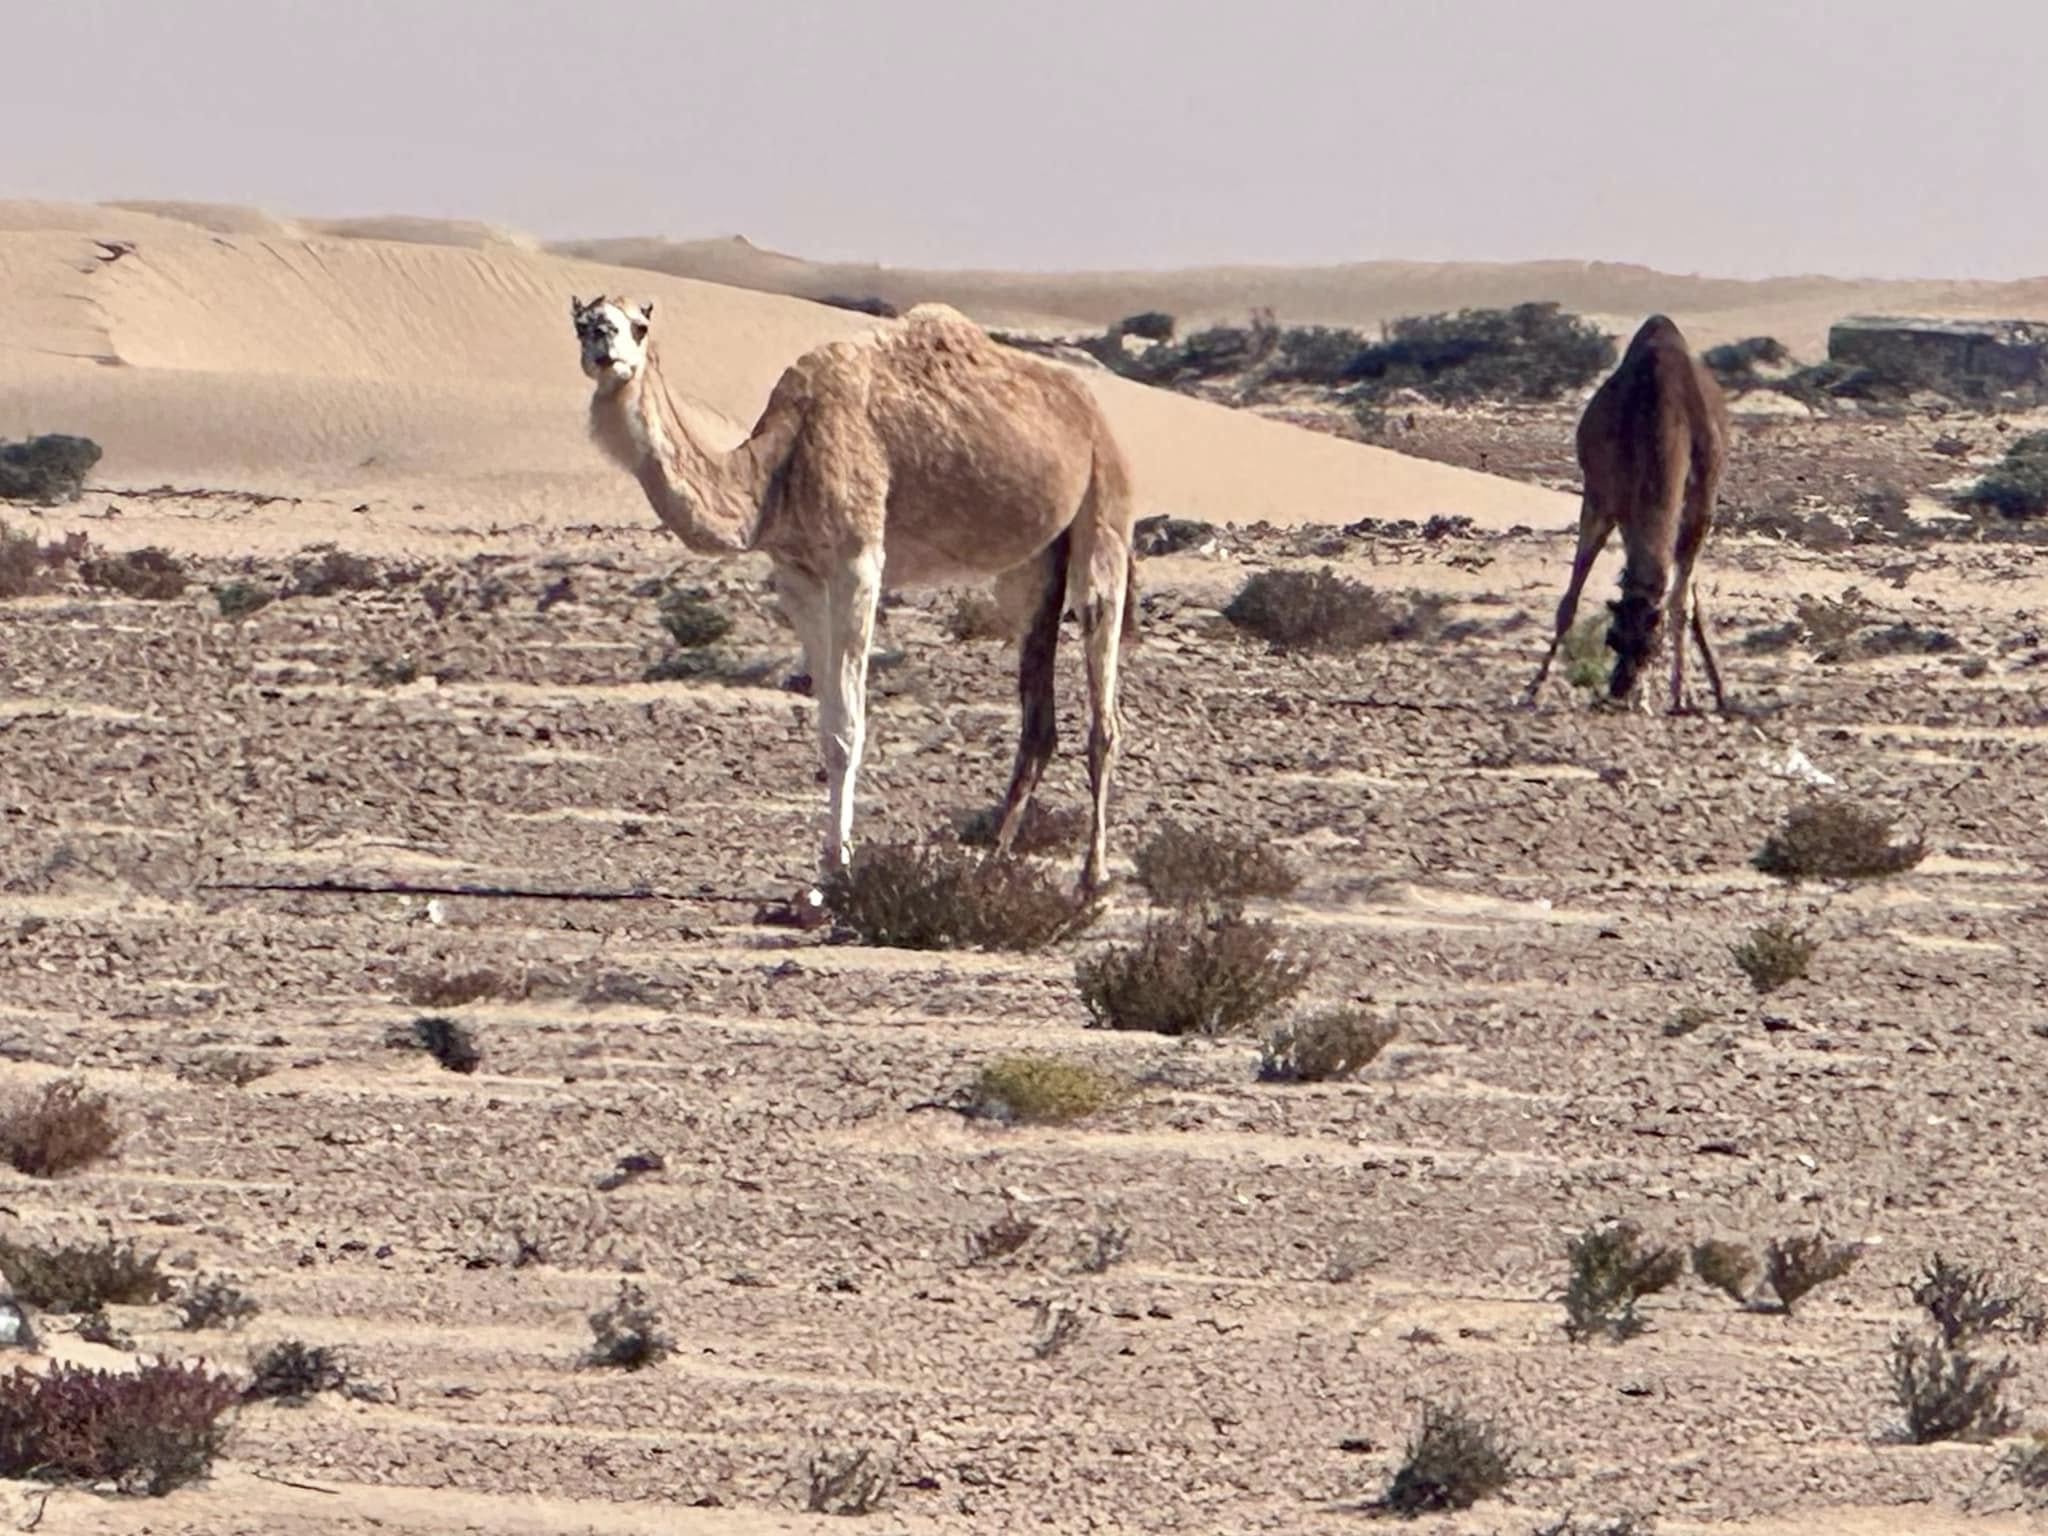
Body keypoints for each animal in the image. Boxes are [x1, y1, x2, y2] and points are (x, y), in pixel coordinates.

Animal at [570, 294, 1139, 897]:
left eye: (639, 326)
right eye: (581, 324)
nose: (604, 342)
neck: (777, 468)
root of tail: (1093, 414)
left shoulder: (857, 560)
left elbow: (848, 724)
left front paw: (839, 871)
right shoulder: (796, 574)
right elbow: (825, 724)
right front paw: (824, 865)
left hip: (1104, 510)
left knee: (1103, 706)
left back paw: (1092, 878)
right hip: (1031, 566)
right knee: (1038, 718)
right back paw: (990, 864)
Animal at [1524, 314, 1730, 713]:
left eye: (1652, 646)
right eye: (1612, 638)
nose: (1619, 690)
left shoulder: (1702, 506)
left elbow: (1680, 603)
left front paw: (1677, 695)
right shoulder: (1605, 497)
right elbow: (1570, 599)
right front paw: (1533, 688)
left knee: (1686, 592)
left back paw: (1716, 690)